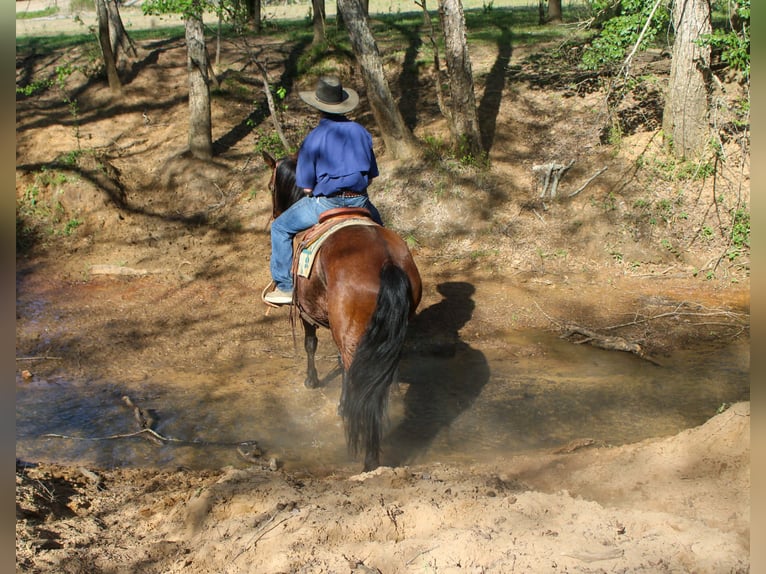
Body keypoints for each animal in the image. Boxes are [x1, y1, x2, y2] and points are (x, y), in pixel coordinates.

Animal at [263, 151, 423, 471]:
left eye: (271, 186)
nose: (274, 215)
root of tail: (387, 262)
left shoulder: (307, 312)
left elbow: (311, 344)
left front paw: (312, 381)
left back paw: (369, 461)